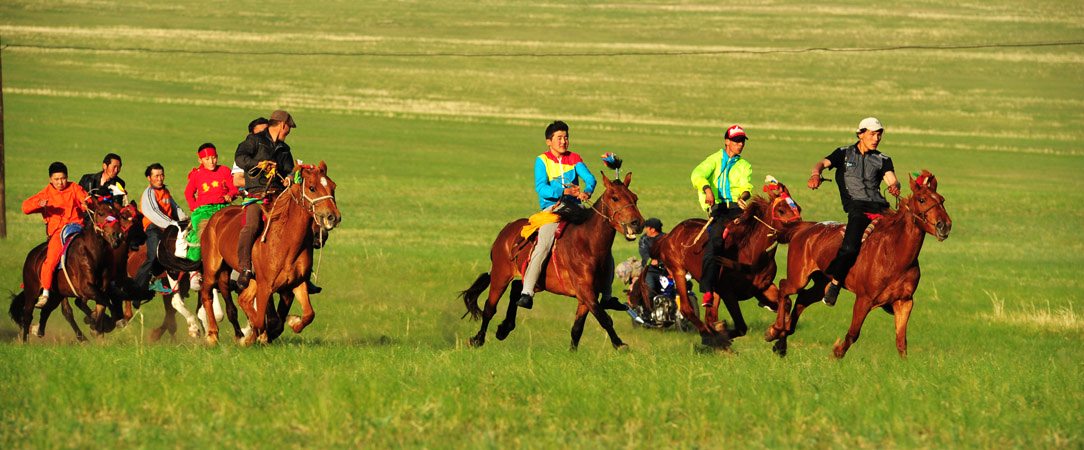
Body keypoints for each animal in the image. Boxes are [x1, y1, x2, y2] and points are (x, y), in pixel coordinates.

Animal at [8, 199, 125, 342]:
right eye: (101, 213)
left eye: (118, 215)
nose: (118, 235)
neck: (93, 253)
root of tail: (32, 255)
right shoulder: (86, 287)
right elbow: (101, 301)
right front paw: (110, 320)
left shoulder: (100, 288)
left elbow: (101, 306)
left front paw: (99, 330)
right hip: (32, 291)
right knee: (28, 315)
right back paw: (25, 341)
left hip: (56, 294)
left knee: (47, 311)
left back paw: (39, 330)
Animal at [197, 163, 340, 346]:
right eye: (312, 188)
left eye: (333, 186)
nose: (333, 217)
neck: (284, 241)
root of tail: (213, 219)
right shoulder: (266, 286)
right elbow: (263, 321)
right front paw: (251, 338)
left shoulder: (296, 283)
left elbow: (307, 315)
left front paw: (292, 321)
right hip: (212, 268)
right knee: (207, 295)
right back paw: (213, 334)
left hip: (247, 278)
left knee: (243, 299)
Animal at [457, 172, 641, 351]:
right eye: (615, 198)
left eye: (635, 198)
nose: (637, 223)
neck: (587, 243)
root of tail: (506, 229)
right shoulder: (584, 290)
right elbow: (604, 318)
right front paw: (620, 344)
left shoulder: (589, 294)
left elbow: (578, 328)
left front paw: (572, 353)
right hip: (500, 275)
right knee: (489, 308)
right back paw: (477, 339)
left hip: (538, 282)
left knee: (517, 288)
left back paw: (505, 327)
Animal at [641, 180, 806, 344]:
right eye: (781, 210)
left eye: (798, 208)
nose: (800, 228)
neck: (751, 252)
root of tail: (669, 235)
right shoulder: (728, 292)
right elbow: (741, 327)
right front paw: (719, 334)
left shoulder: (762, 288)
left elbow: (787, 303)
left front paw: (774, 330)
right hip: (678, 271)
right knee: (687, 309)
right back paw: (707, 333)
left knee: (709, 314)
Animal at [776, 170, 953, 360]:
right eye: (922, 199)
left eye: (942, 200)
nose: (945, 225)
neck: (894, 255)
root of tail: (804, 228)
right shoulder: (863, 300)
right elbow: (852, 334)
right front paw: (835, 354)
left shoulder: (904, 302)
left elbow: (901, 342)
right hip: (799, 278)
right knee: (784, 287)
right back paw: (776, 329)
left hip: (823, 283)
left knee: (803, 298)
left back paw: (780, 340)